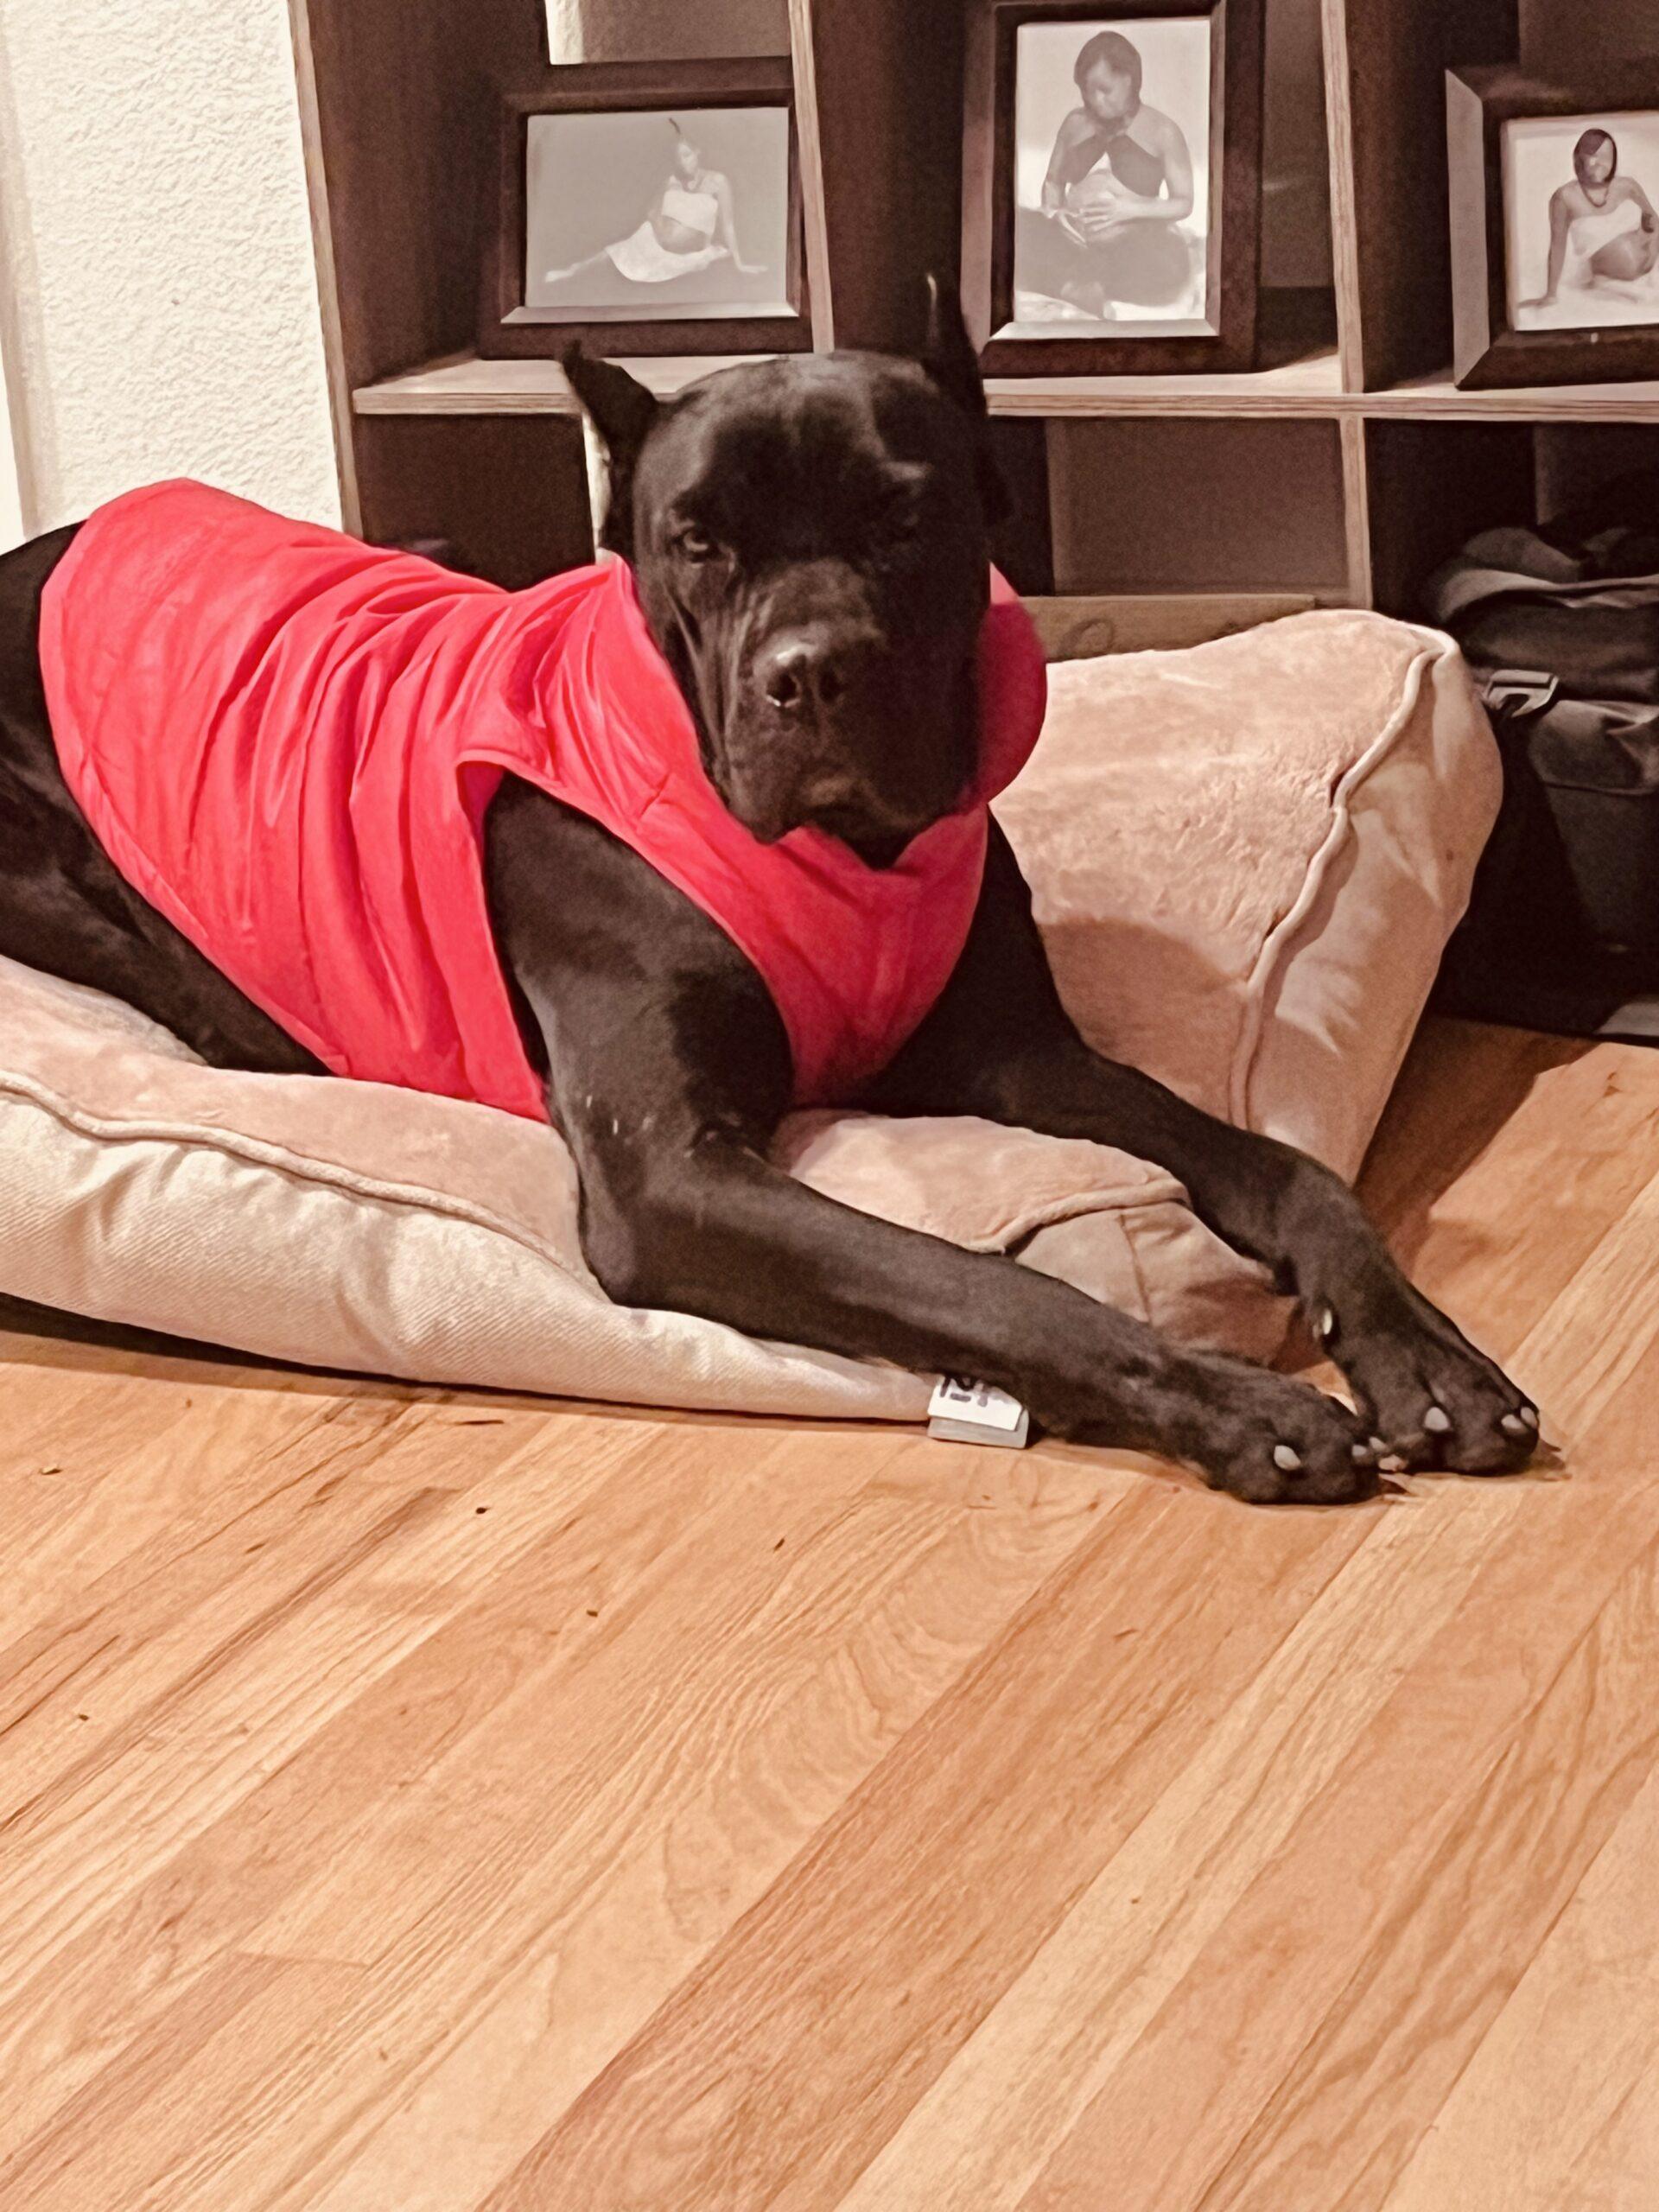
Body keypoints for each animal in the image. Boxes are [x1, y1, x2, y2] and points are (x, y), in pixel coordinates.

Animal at [0, 285, 1538, 1502]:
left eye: (904, 517)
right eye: (697, 541)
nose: (809, 675)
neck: (840, 850)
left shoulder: (1010, 1050)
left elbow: (1282, 1167)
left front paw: (1422, 1356)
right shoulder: (672, 1175)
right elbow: (986, 1279)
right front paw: (1239, 1407)